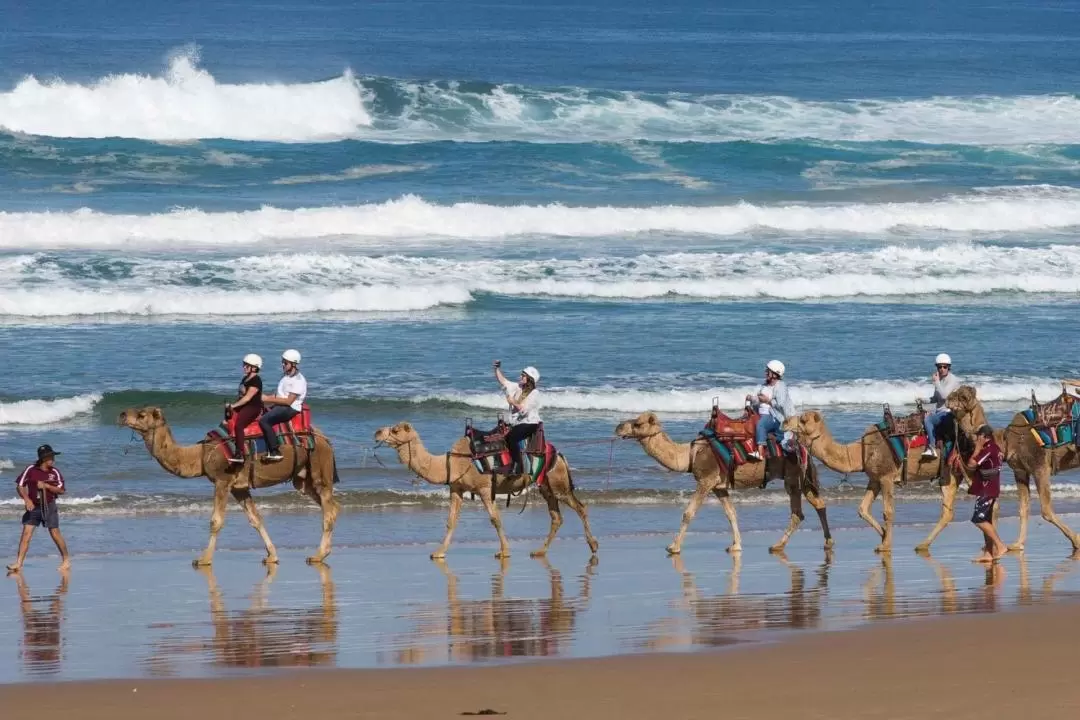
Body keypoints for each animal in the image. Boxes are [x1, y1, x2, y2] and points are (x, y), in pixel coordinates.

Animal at [117, 408, 339, 565]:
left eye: (142, 414)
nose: (121, 414)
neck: (200, 456)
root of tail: (325, 439)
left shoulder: (222, 480)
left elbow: (215, 521)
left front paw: (203, 559)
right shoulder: (238, 488)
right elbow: (255, 519)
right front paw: (272, 556)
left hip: (320, 464)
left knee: (328, 509)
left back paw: (318, 555)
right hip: (302, 479)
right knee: (331, 506)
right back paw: (323, 552)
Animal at [373, 423, 600, 561]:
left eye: (395, 430)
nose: (376, 432)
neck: (452, 462)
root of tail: (559, 454)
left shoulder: (483, 488)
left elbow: (495, 519)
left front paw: (504, 551)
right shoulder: (456, 489)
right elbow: (451, 521)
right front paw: (438, 552)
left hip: (557, 482)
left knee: (580, 507)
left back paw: (594, 545)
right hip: (546, 485)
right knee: (556, 516)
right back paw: (539, 551)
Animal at [613, 410, 829, 557]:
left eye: (637, 423)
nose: (618, 427)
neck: (690, 454)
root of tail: (805, 449)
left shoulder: (706, 480)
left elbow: (688, 513)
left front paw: (673, 547)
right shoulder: (718, 487)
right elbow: (731, 513)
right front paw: (736, 545)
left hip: (793, 476)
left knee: (798, 512)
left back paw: (779, 545)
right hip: (801, 478)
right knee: (816, 504)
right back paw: (824, 542)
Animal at [781, 405, 984, 557]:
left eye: (803, 419)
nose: (784, 422)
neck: (861, 452)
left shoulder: (886, 476)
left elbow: (888, 512)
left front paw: (886, 545)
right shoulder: (875, 479)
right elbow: (862, 509)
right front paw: (883, 537)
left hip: (967, 466)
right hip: (950, 474)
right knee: (948, 512)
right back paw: (923, 545)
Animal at [950, 388, 1075, 552]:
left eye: (963, 396)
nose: (948, 398)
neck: (1006, 441)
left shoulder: (1040, 466)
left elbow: (1046, 509)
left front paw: (1076, 541)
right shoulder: (1020, 471)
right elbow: (1023, 508)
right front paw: (1017, 544)